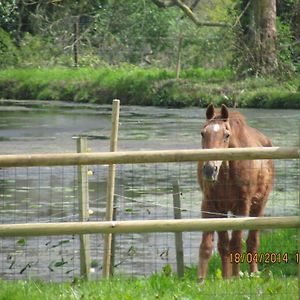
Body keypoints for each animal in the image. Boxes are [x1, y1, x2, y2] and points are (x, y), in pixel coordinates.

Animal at [198, 104, 274, 282]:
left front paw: (235, 277)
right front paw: (210, 279)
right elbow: (214, 245)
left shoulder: (243, 204)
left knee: (253, 241)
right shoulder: (212, 205)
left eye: (226, 135)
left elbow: (237, 243)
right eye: (203, 133)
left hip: (259, 205)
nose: (210, 169)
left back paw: (253, 273)